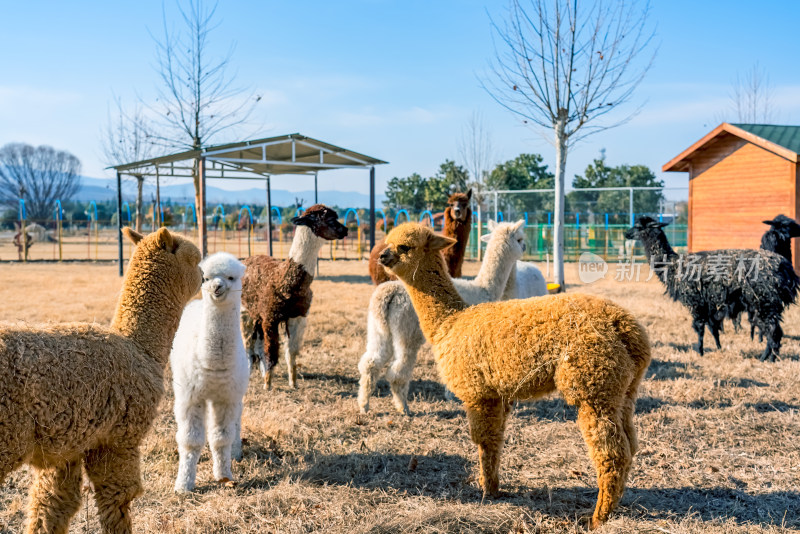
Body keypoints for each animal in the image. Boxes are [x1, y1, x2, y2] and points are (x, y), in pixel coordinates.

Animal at [628, 216, 796, 362]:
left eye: (638, 226)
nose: (626, 234)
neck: (674, 265)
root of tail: (786, 268)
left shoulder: (695, 302)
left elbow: (700, 328)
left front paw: (700, 352)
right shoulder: (708, 305)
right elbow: (713, 329)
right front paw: (718, 348)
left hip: (765, 302)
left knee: (773, 332)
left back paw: (767, 359)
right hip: (766, 305)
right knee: (774, 331)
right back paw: (768, 357)